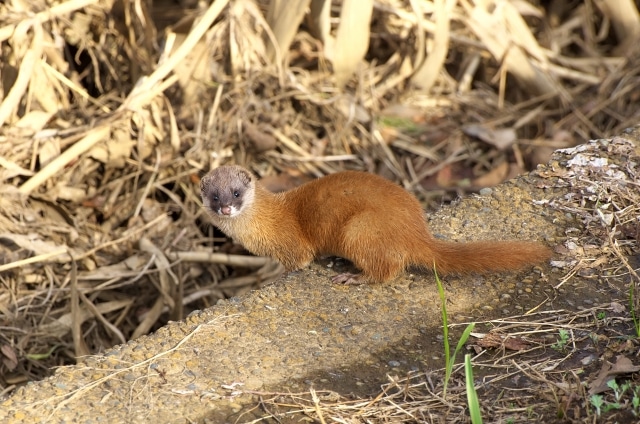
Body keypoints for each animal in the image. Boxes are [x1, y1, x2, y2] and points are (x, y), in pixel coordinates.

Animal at [200, 164, 552, 284]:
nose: (227, 208)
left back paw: (353, 277)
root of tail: (417, 231)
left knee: (387, 270)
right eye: (214, 196)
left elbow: (299, 262)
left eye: (236, 191)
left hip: (360, 229)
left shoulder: (291, 246)